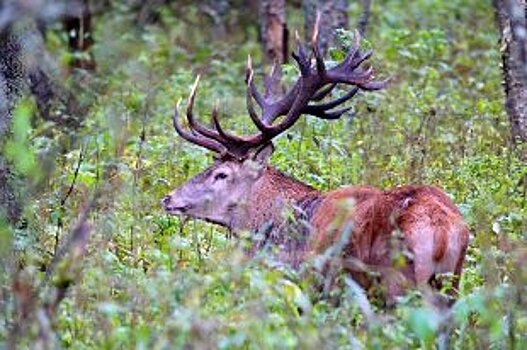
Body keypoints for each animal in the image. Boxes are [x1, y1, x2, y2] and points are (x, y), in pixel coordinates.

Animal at [161, 22, 470, 306]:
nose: (168, 198)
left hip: (395, 284)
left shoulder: (311, 284)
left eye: (221, 174)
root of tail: (442, 231)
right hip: (451, 285)